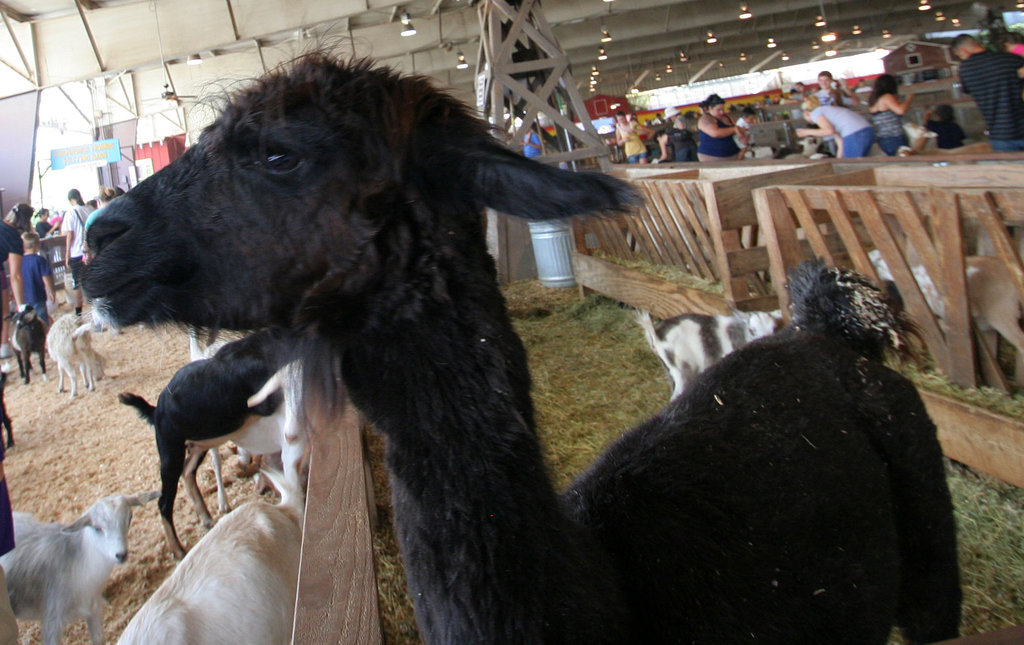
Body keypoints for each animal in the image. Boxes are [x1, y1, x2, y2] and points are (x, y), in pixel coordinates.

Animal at [0, 493, 157, 642]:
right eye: (97, 528)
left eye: (129, 518)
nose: (121, 555)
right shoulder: (52, 619)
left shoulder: (93, 610)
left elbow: (99, 639)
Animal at [634, 309, 778, 399]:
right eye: (751, 330)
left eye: (774, 328)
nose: (765, 340)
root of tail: (657, 336)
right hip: (682, 369)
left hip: (669, 369)